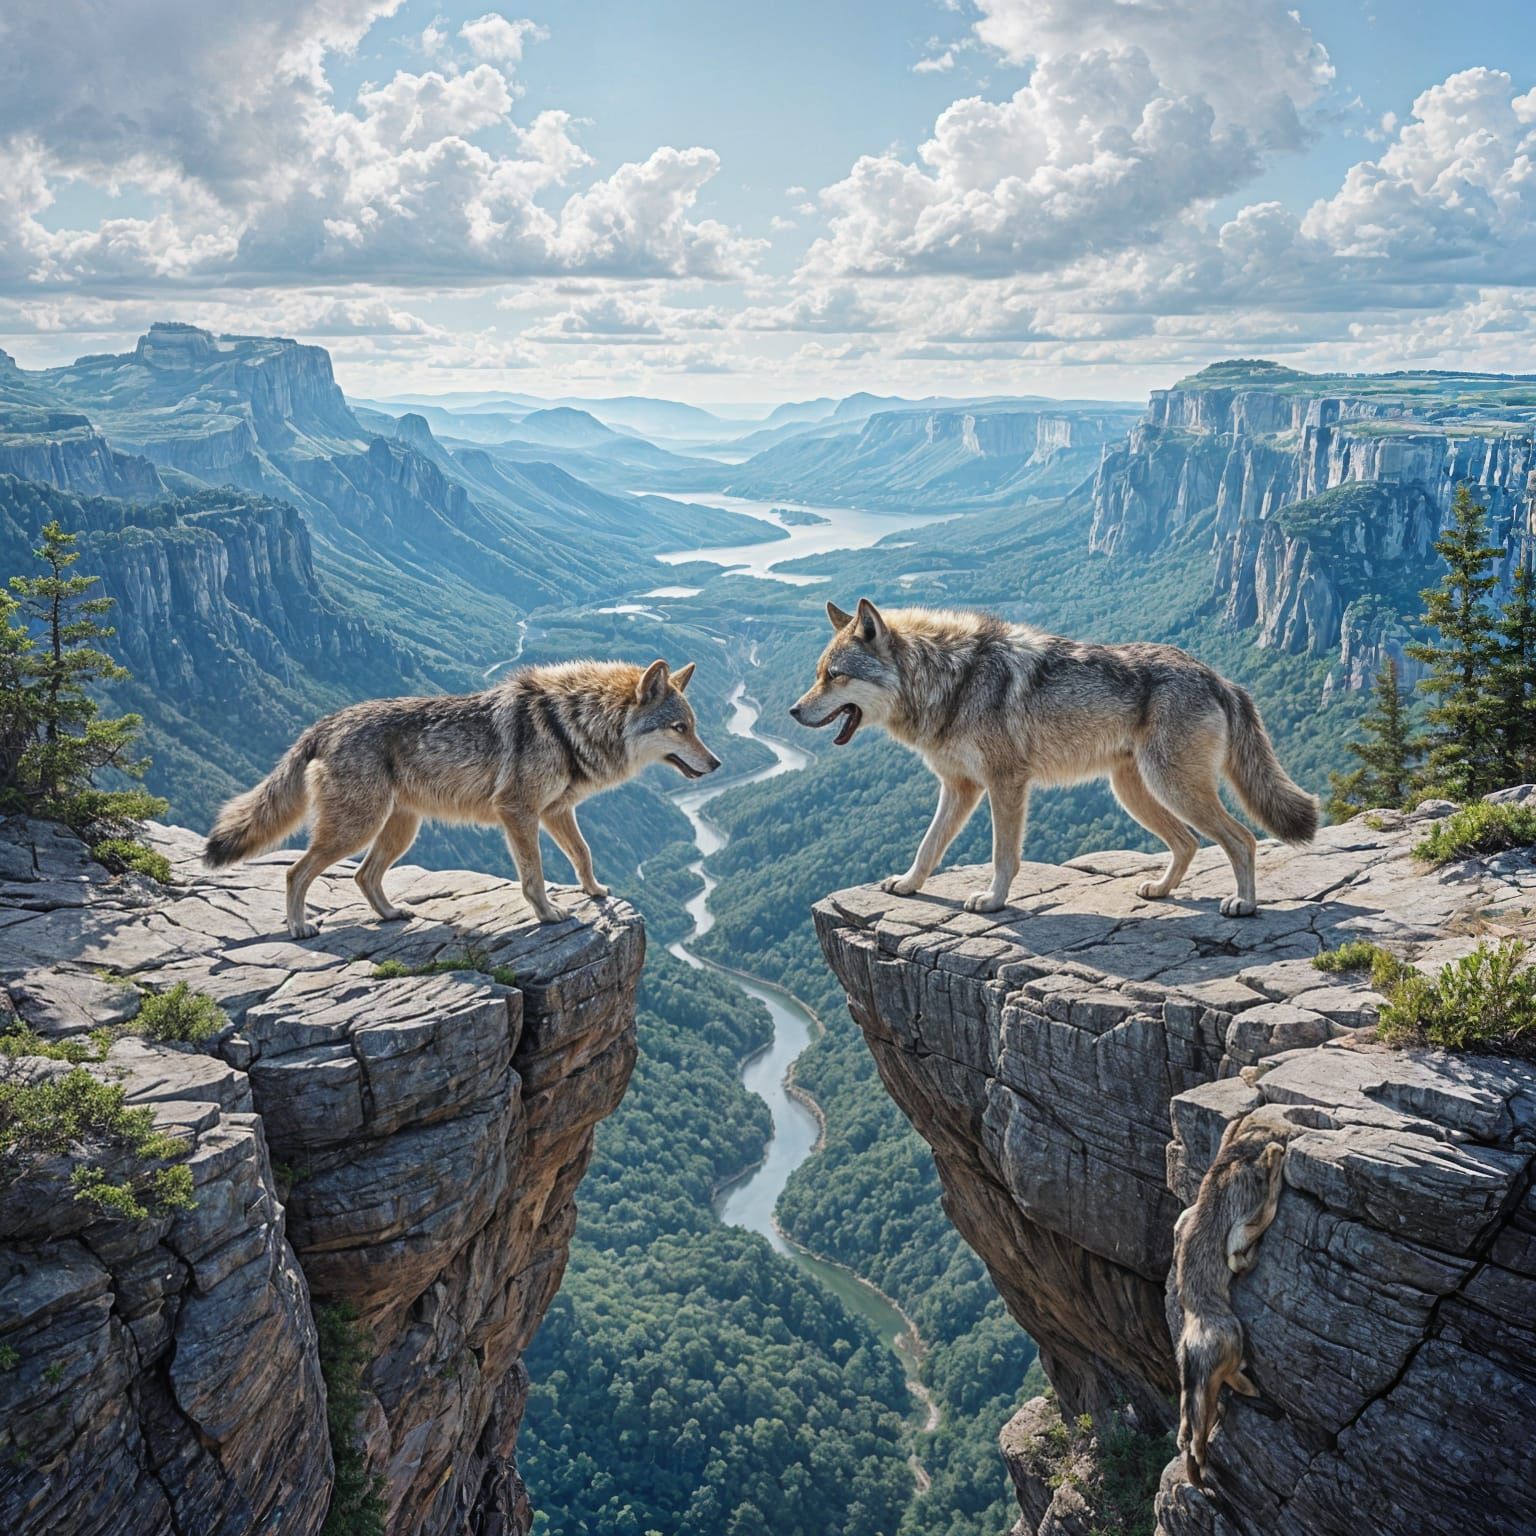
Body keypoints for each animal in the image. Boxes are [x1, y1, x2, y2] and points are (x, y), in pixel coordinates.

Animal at [205, 659, 720, 937]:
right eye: (680, 728)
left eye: (693, 726)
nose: (716, 764)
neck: (570, 726)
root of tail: (325, 723)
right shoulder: (519, 813)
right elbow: (533, 876)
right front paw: (550, 915)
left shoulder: (557, 811)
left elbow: (583, 854)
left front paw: (593, 892)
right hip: (357, 830)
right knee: (296, 872)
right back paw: (298, 927)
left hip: (399, 831)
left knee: (364, 877)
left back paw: (391, 914)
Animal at [789, 600, 1317, 917]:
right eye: (818, 674)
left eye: (835, 675)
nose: (793, 711)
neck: (949, 681)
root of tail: (1219, 677)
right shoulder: (959, 788)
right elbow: (929, 845)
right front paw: (907, 884)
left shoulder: (1005, 784)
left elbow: (1003, 856)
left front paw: (993, 901)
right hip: (1134, 792)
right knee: (1188, 843)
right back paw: (1161, 890)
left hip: (1173, 788)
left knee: (1241, 838)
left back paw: (1243, 904)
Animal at [1172, 1112, 1293, 1486]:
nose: (1287, 1132)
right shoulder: (1242, 1215)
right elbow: (1244, 1238)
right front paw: (1276, 1157)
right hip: (1225, 1340)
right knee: (1204, 1414)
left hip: (1196, 1373)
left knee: (1191, 1415)